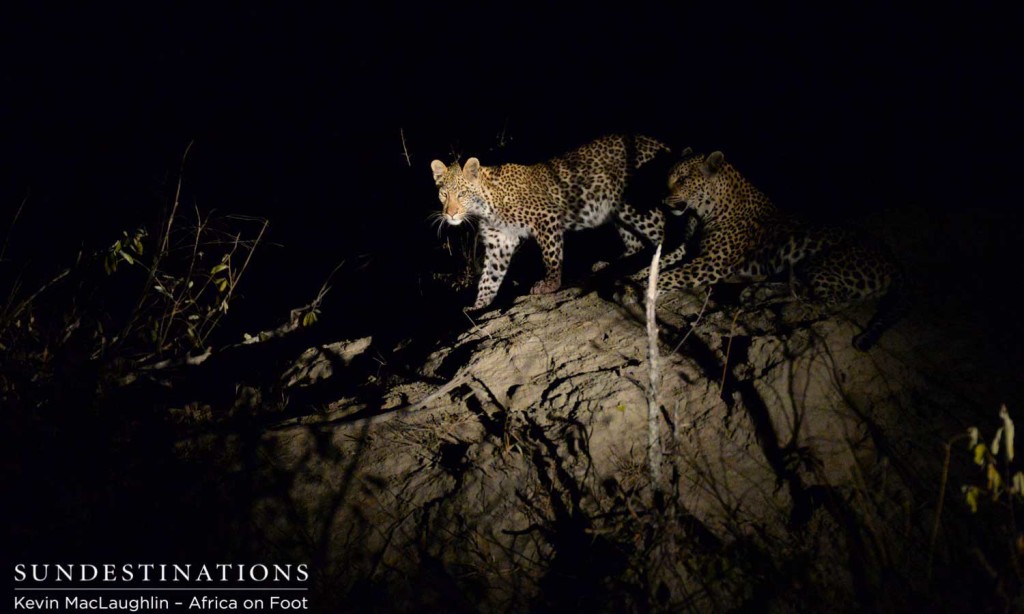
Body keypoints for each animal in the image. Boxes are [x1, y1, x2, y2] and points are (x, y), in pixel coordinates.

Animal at [432, 132, 671, 309]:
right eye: (444, 194)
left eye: (462, 194)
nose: (450, 214)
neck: (486, 205)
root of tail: (658, 144)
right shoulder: (499, 241)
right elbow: (490, 276)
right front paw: (479, 305)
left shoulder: (547, 217)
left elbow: (551, 256)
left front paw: (550, 285)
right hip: (619, 211)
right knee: (635, 243)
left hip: (635, 205)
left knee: (662, 229)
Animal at [651, 148, 909, 349]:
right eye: (667, 177)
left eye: (683, 179)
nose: (661, 200)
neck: (702, 212)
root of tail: (894, 261)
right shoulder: (686, 248)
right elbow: (658, 264)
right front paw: (642, 277)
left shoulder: (711, 262)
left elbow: (671, 275)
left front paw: (648, 289)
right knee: (800, 288)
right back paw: (755, 293)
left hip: (821, 263)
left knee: (832, 301)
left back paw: (783, 309)